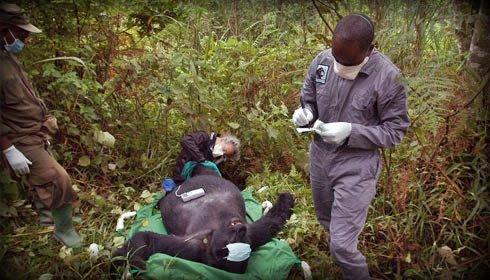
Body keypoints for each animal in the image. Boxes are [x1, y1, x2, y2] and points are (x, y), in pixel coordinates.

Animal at [112, 164, 294, 274]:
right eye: (228, 242)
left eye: (237, 242)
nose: (239, 229)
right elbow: (272, 223)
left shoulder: (192, 246)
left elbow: (148, 240)